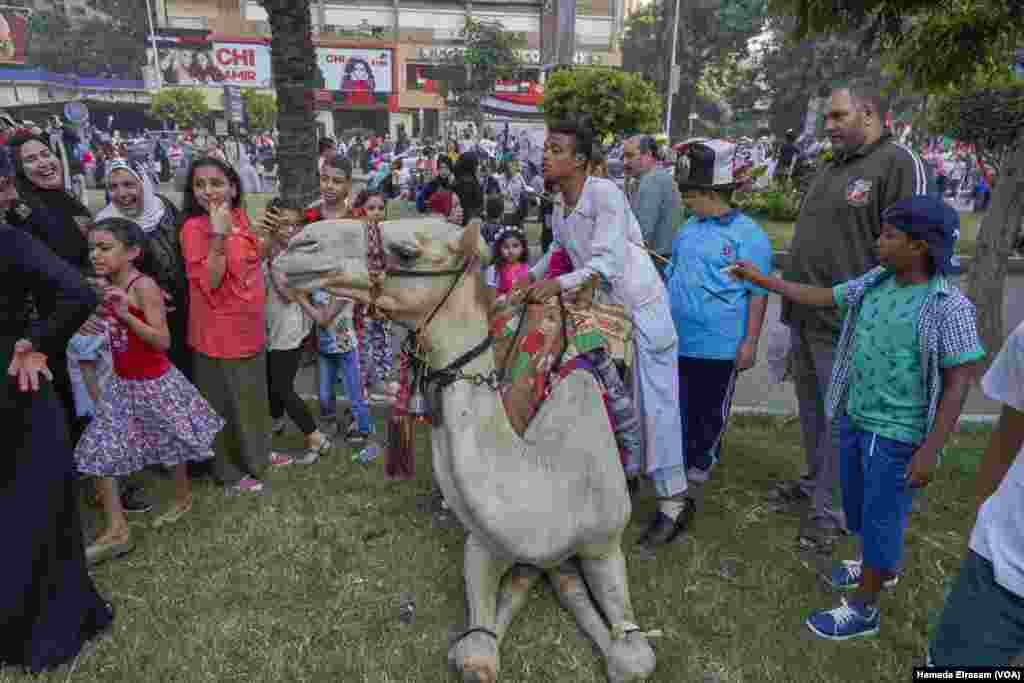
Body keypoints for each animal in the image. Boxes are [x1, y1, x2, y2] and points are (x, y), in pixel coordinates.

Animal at [272, 216, 655, 679]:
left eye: (406, 251)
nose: (299, 244)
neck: (551, 479)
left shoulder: (605, 543)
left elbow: (634, 656)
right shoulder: (484, 543)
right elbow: (477, 648)